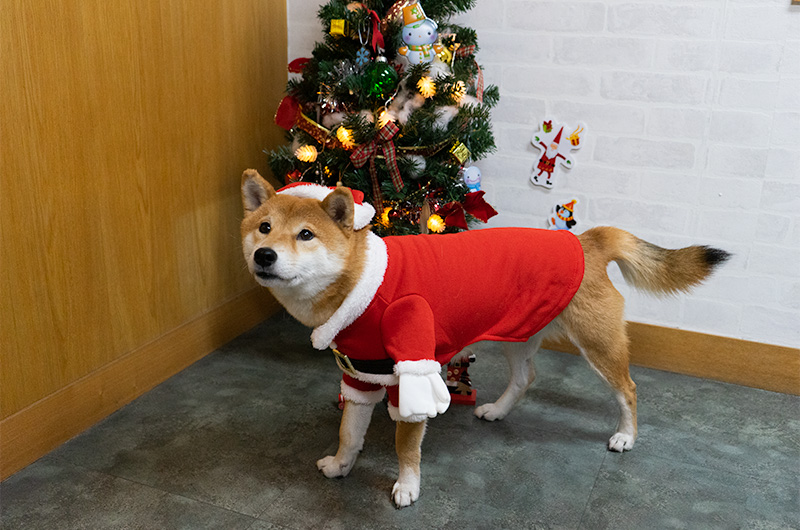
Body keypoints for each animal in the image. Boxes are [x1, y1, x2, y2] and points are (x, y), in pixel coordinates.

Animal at [239, 167, 732, 506]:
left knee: (627, 389)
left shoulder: (411, 374)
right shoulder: (360, 375)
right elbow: (349, 433)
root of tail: (585, 240)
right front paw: (342, 465)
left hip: (598, 345)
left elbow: (405, 445)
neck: (362, 283)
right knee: (525, 378)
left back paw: (625, 436)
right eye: (264, 228)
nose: (264, 256)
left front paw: (407, 485)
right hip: (515, 335)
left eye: (306, 235)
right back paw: (498, 410)